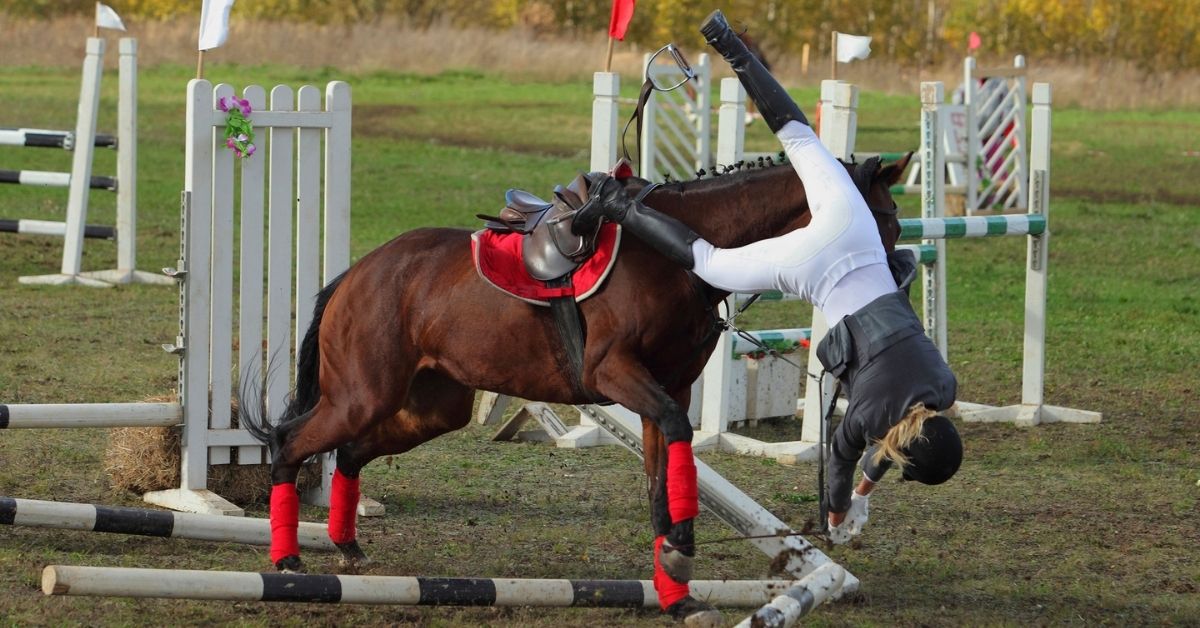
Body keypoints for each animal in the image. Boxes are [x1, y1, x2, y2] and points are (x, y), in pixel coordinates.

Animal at [243, 153, 907, 624]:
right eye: (877, 220)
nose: (897, 277)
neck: (680, 250)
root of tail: (355, 273)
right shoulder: (614, 374)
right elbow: (675, 444)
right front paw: (680, 554)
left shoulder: (665, 390)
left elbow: (662, 479)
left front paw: (676, 591)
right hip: (364, 394)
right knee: (290, 440)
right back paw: (286, 559)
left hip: (431, 407)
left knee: (352, 451)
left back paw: (346, 545)